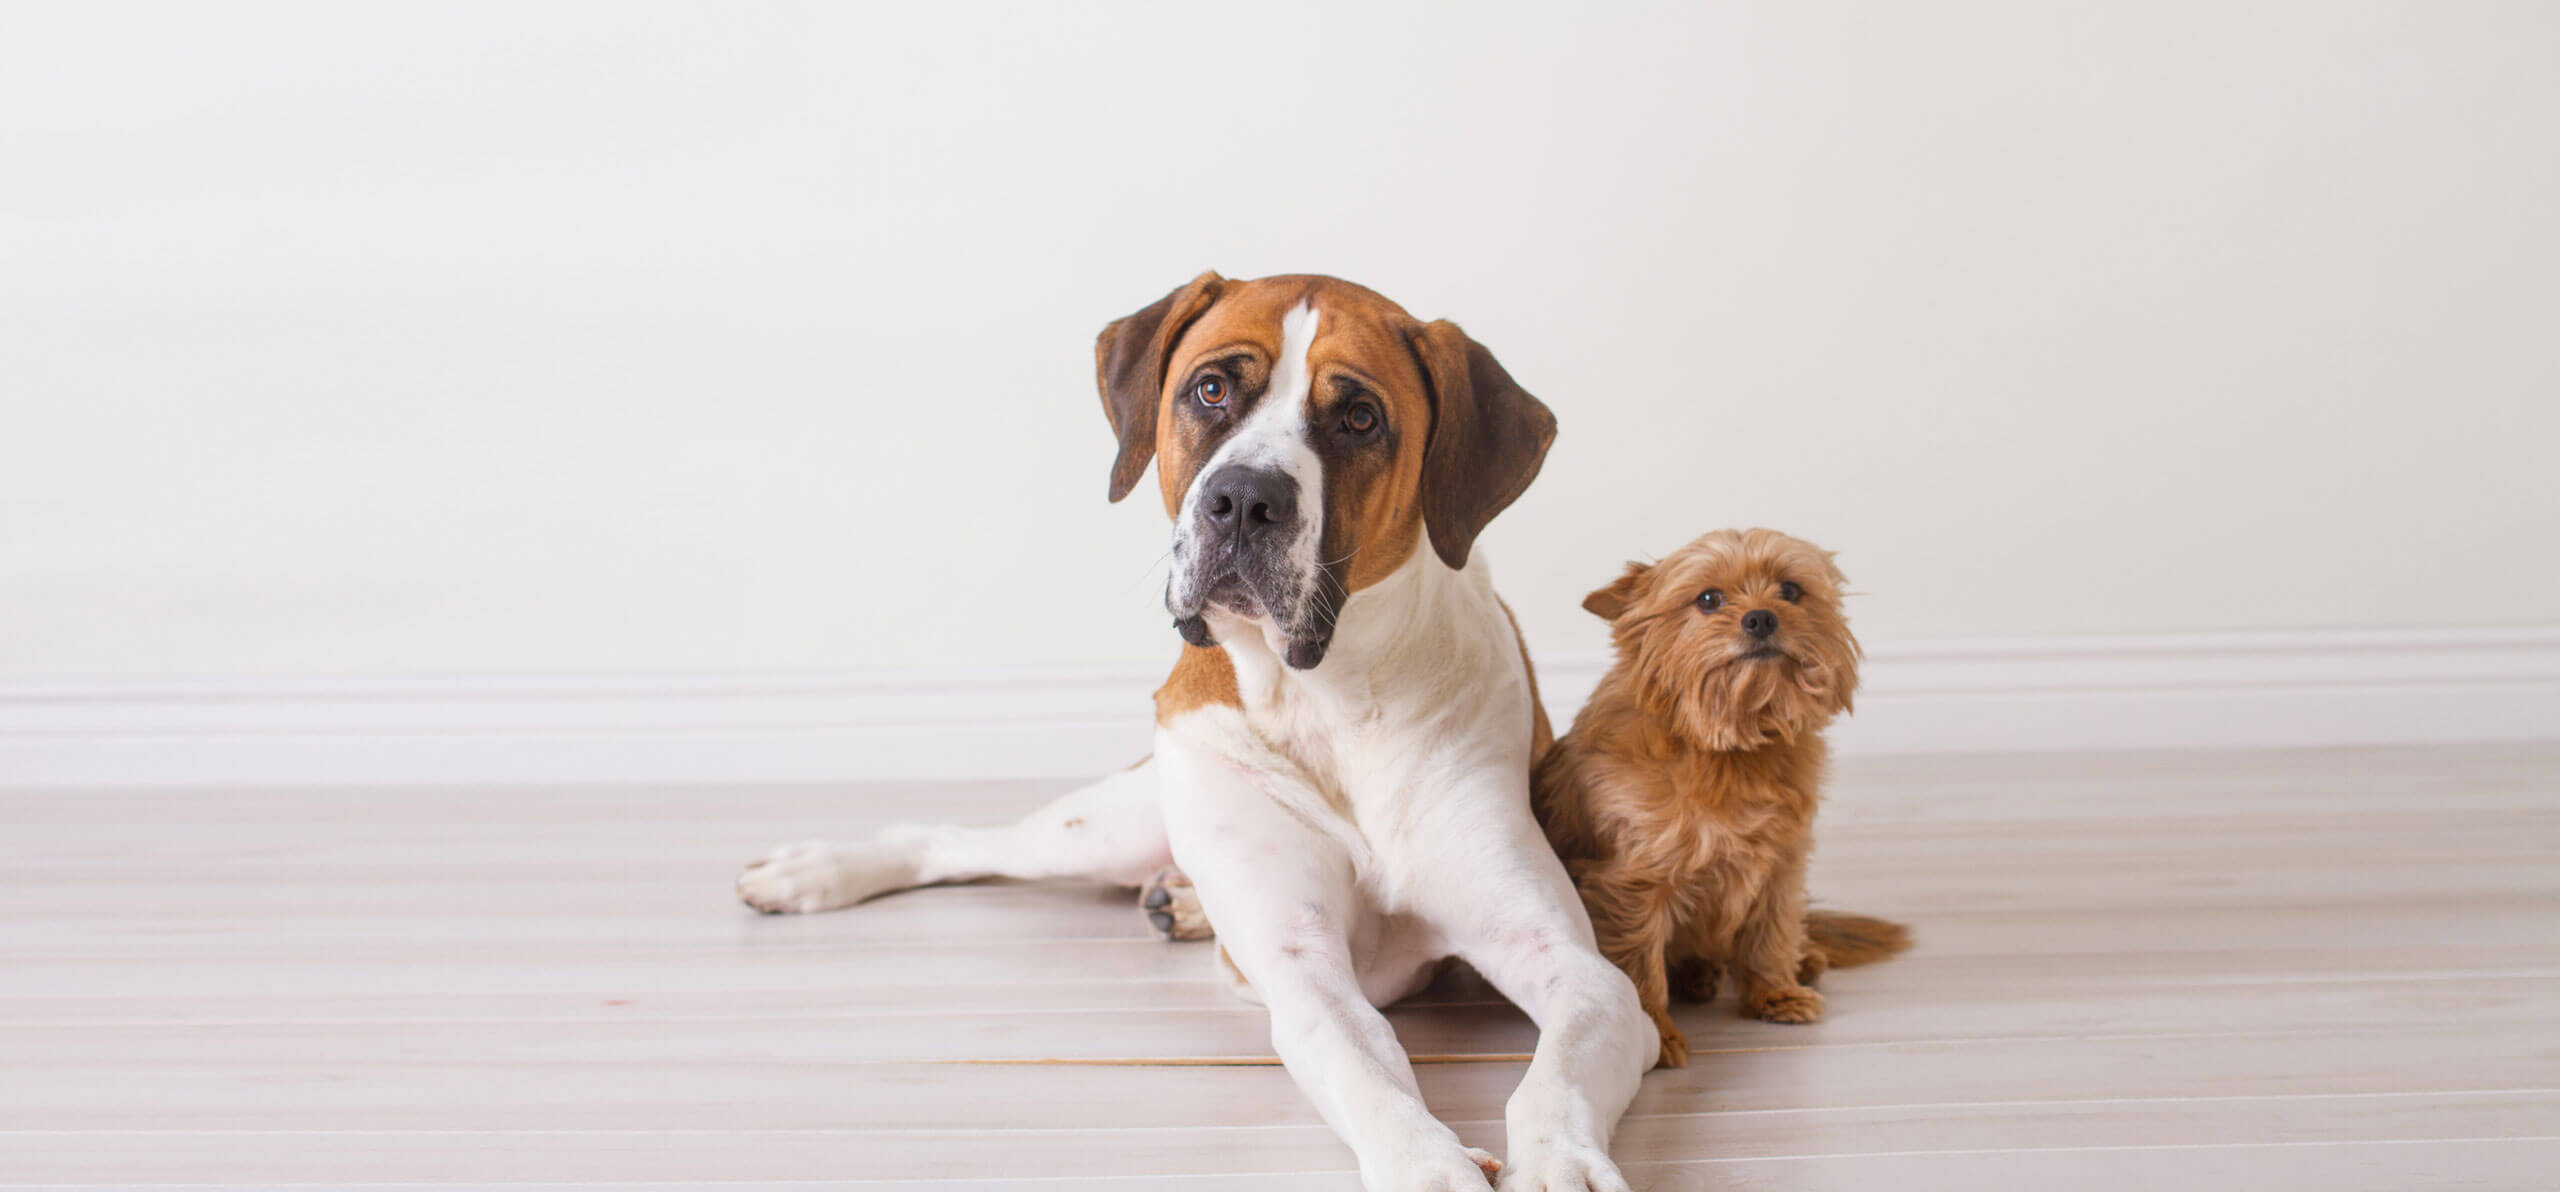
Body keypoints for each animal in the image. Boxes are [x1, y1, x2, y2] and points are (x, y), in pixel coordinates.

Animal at [742, 274, 1658, 1186]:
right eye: (1212, 390)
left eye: (1360, 417)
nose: (1246, 497)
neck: (1327, 699)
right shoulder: (1305, 971)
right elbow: (1369, 1073)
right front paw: (1430, 1171)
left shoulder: (1579, 972)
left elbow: (1555, 1070)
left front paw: (1559, 1164)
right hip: (1110, 825)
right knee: (957, 840)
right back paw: (815, 870)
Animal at [1525, 526, 1914, 1064]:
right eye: (1708, 599)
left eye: (1790, 590)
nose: (1761, 617)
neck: (1731, 747)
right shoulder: (1632, 885)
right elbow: (1640, 965)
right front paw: (1655, 1034)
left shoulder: (1781, 866)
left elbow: (1771, 934)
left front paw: (1774, 992)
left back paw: (1800, 959)